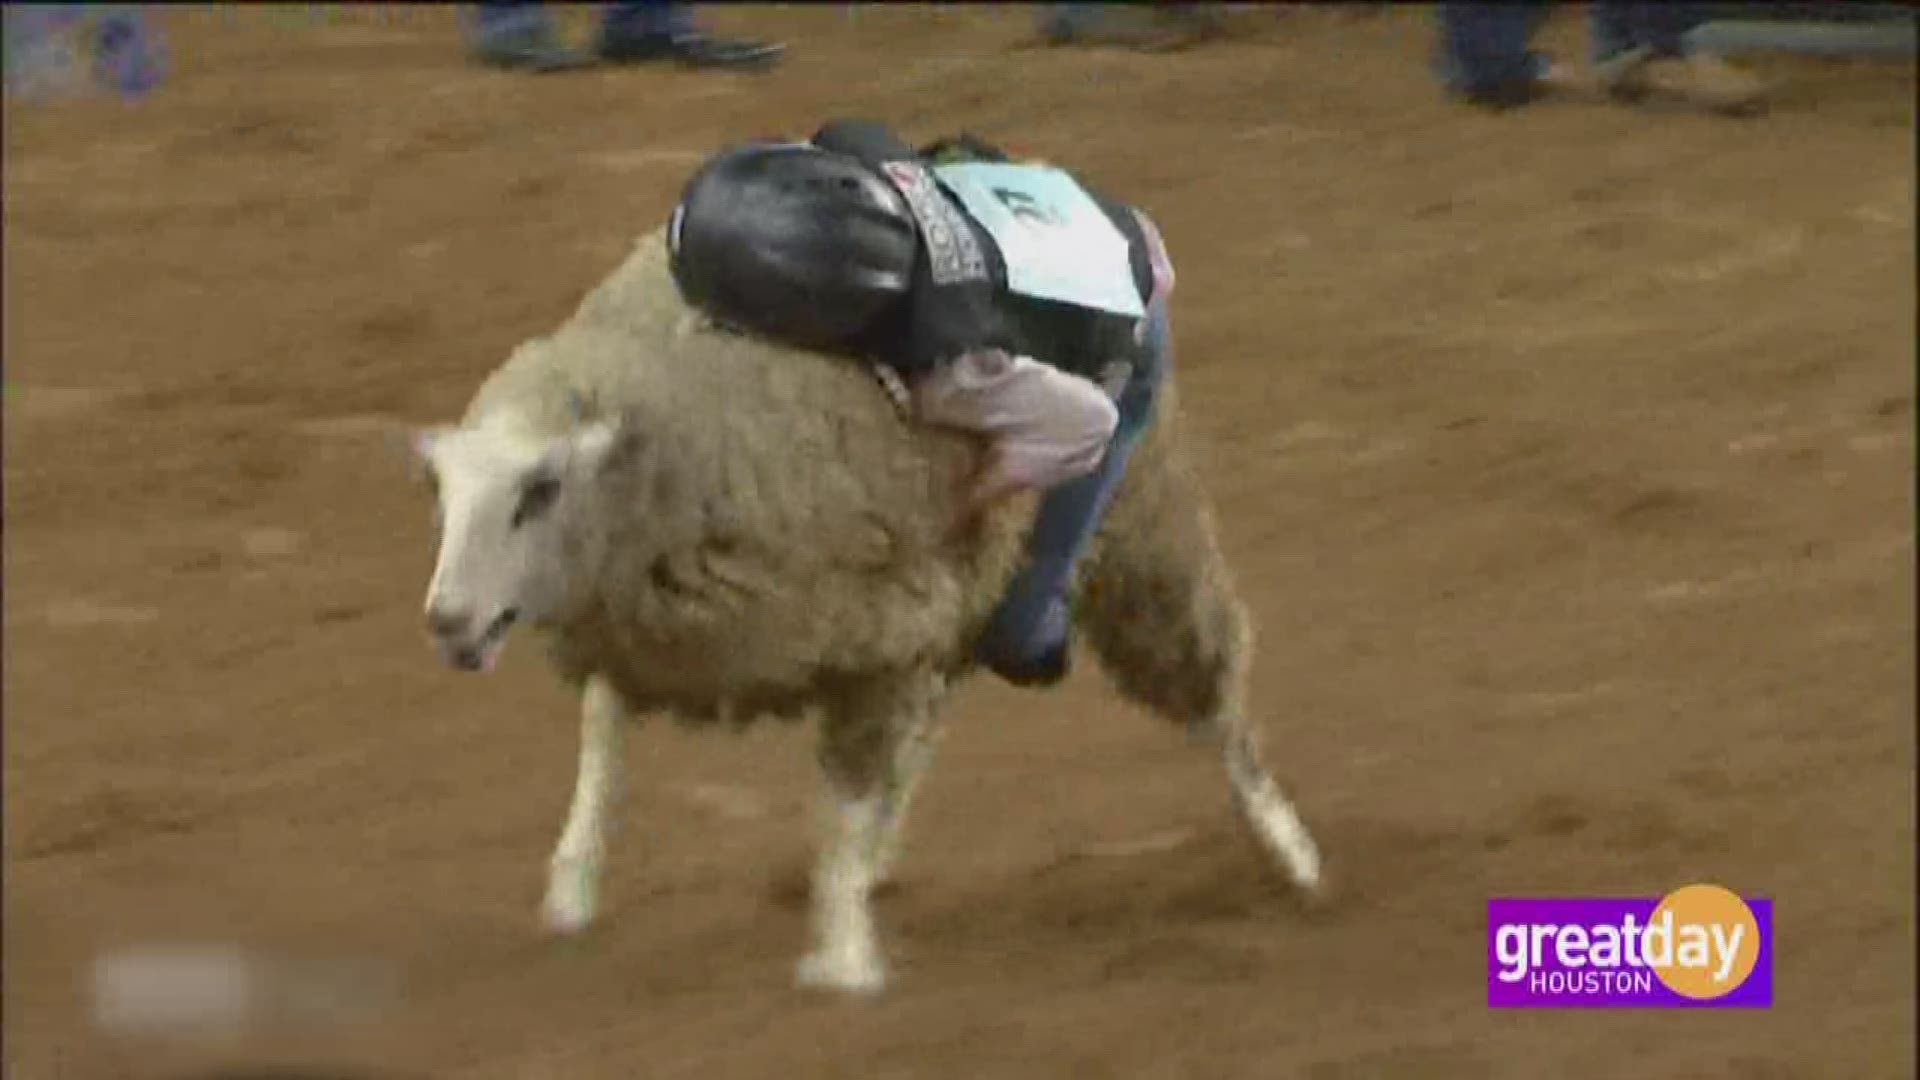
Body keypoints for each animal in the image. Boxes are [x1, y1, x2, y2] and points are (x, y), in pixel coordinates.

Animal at [405, 226, 1320, 991]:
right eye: (443, 494)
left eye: (540, 490)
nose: (447, 620)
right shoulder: (641, 625)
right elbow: (603, 746)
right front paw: (572, 888)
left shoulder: (873, 632)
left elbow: (841, 794)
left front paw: (843, 959)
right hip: (969, 595)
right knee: (933, 718)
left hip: (1136, 533)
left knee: (1213, 696)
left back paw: (1292, 851)